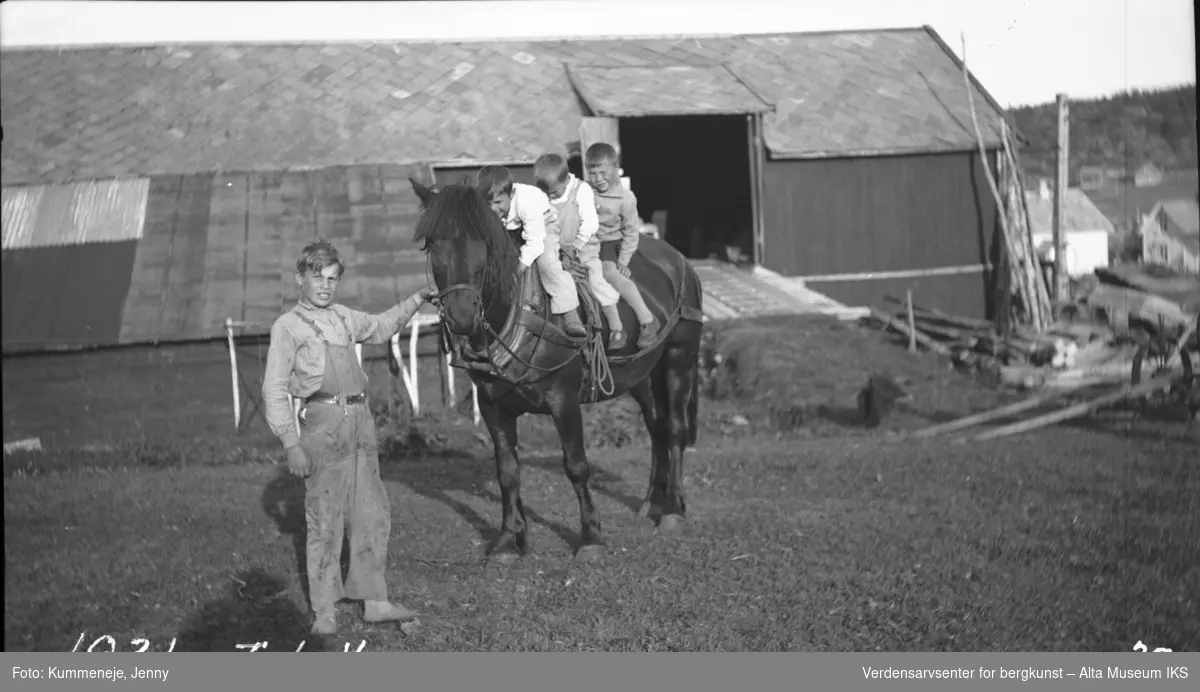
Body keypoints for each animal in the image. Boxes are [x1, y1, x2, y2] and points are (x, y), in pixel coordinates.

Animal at [410, 177, 700, 561]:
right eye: (431, 243)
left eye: (484, 241)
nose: (461, 315)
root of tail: (678, 260)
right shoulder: (492, 405)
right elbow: (507, 472)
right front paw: (509, 539)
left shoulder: (564, 399)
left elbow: (576, 466)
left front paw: (591, 537)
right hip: (641, 375)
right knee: (658, 428)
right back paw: (652, 502)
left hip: (680, 359)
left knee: (677, 429)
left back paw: (672, 511)